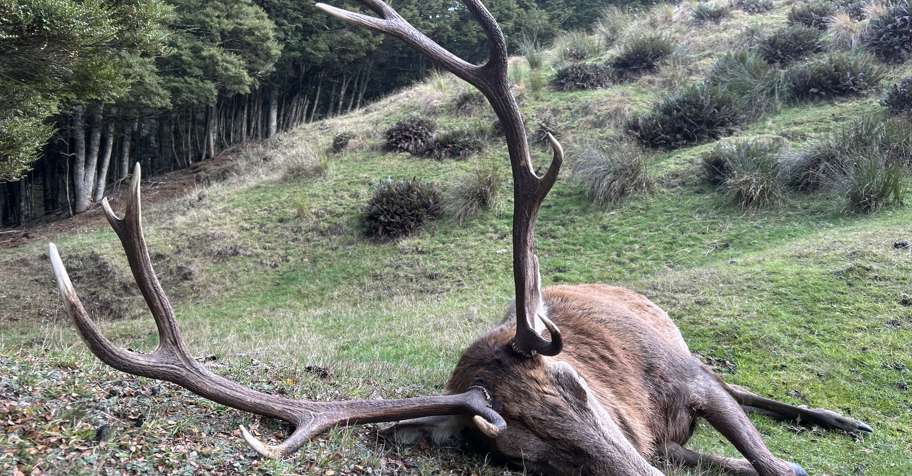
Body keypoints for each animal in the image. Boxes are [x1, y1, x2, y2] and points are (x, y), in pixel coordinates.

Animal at [47, 1, 873, 474]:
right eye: (529, 458)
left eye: (575, 388)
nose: (640, 467)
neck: (634, 405)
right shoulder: (661, 439)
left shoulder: (681, 381)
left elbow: (772, 459)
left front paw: (804, 447)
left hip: (686, 349)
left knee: (742, 385)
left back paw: (845, 418)